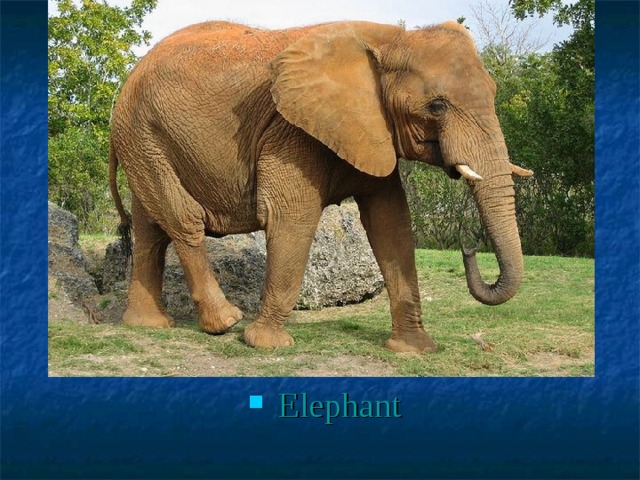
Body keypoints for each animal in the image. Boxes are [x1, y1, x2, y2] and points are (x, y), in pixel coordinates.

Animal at [109, 20, 533, 353]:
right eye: (437, 106)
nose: (469, 247)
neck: (393, 38)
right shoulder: (292, 130)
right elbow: (291, 216)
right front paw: (266, 345)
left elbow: (391, 223)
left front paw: (415, 350)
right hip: (142, 133)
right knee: (183, 220)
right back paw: (226, 322)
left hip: (145, 138)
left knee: (151, 229)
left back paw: (148, 325)